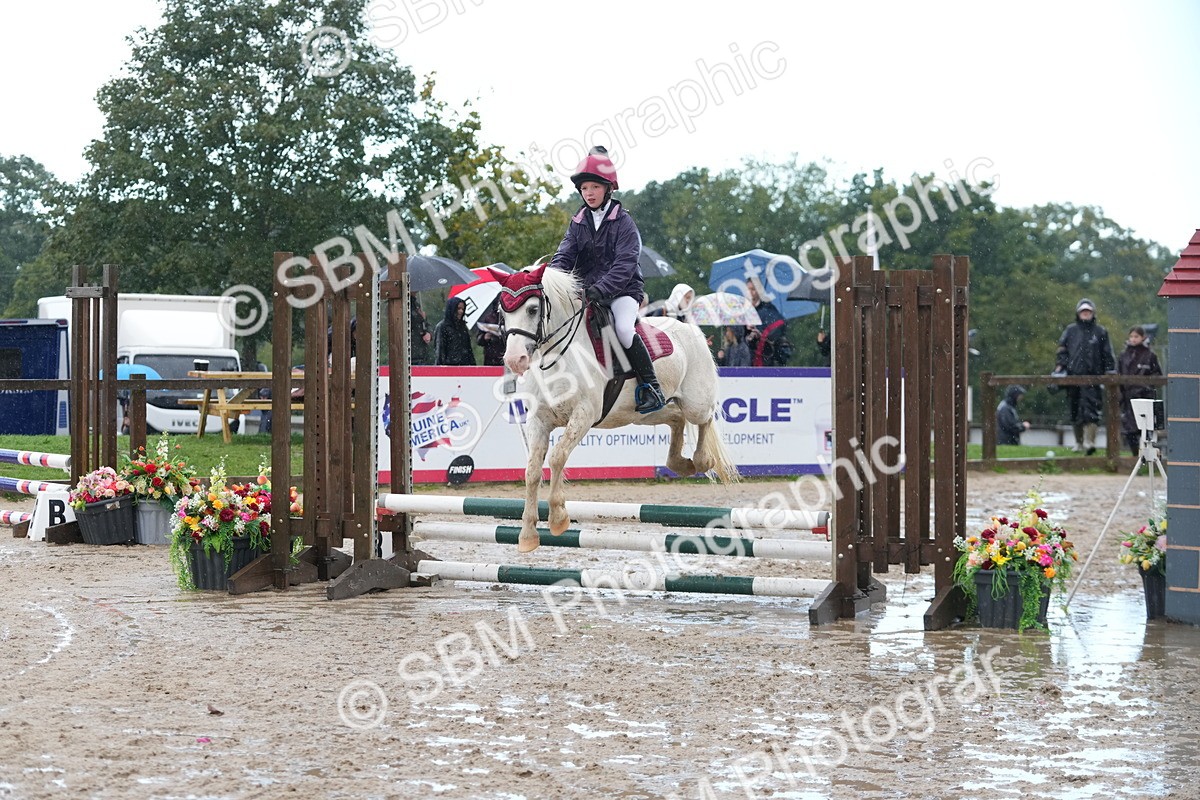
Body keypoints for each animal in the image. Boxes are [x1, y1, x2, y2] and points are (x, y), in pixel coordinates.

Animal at [490, 263, 739, 552]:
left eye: (532, 309)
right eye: (502, 312)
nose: (514, 360)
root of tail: (692, 330)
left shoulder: (584, 414)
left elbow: (557, 457)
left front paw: (558, 518)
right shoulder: (539, 420)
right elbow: (531, 471)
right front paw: (528, 534)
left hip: (695, 402)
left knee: (704, 418)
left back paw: (701, 460)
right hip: (645, 414)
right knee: (676, 418)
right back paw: (679, 464)